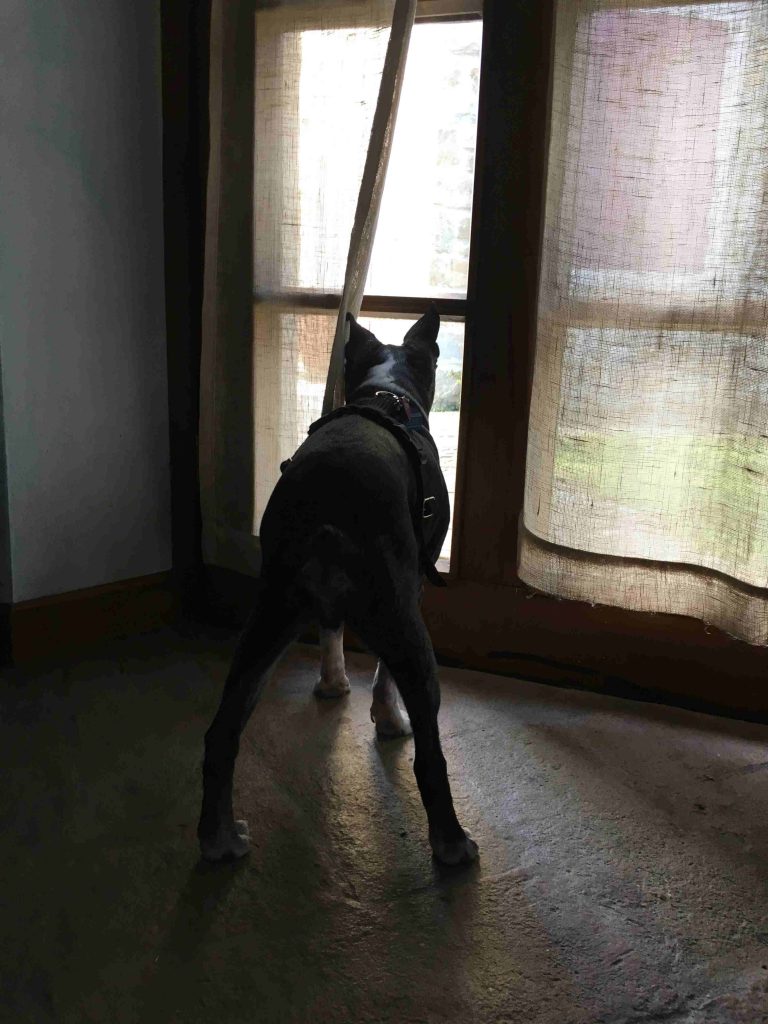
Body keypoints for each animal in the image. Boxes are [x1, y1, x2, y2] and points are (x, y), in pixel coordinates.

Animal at [198, 305, 479, 866]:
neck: (384, 394)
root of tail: (327, 502)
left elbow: (332, 632)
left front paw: (332, 685)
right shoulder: (410, 590)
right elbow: (385, 676)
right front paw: (387, 718)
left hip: (268, 618)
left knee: (222, 733)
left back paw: (220, 839)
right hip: (404, 626)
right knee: (429, 756)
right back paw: (452, 845)